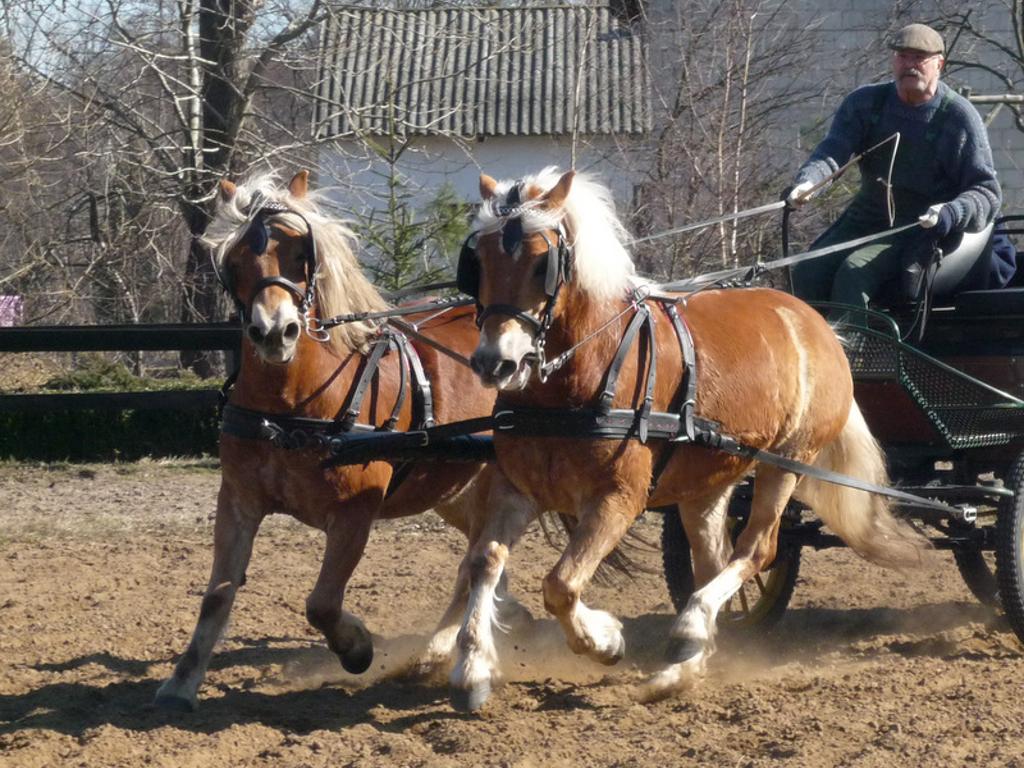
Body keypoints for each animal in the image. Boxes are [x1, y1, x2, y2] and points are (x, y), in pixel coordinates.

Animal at [153, 171, 520, 712]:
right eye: (234, 261)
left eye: (300, 253)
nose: (275, 332)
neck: (291, 406)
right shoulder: (237, 500)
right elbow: (218, 593)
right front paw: (181, 682)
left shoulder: (353, 514)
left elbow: (322, 604)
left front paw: (357, 648)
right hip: (455, 489)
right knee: (473, 561)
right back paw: (437, 651)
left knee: (487, 561)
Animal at [450, 166, 929, 708]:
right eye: (479, 262)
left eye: (540, 264)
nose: (495, 363)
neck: (578, 378)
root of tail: (815, 322)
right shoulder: (517, 486)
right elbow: (483, 561)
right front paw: (472, 667)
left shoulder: (619, 498)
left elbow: (562, 584)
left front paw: (606, 640)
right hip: (709, 479)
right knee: (712, 560)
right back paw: (684, 664)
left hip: (785, 461)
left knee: (756, 550)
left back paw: (688, 632)